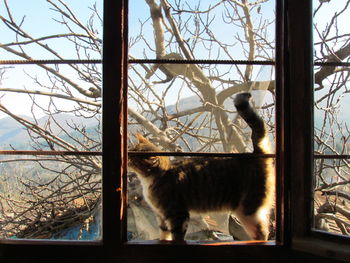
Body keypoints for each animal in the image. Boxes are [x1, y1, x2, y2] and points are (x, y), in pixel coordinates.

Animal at [127, 93, 274, 241]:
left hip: (247, 210)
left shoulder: (177, 213)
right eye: (130, 150)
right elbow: (164, 233)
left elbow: (177, 235)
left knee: (263, 232)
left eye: (132, 157)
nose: (126, 156)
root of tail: (255, 153)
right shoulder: (161, 215)